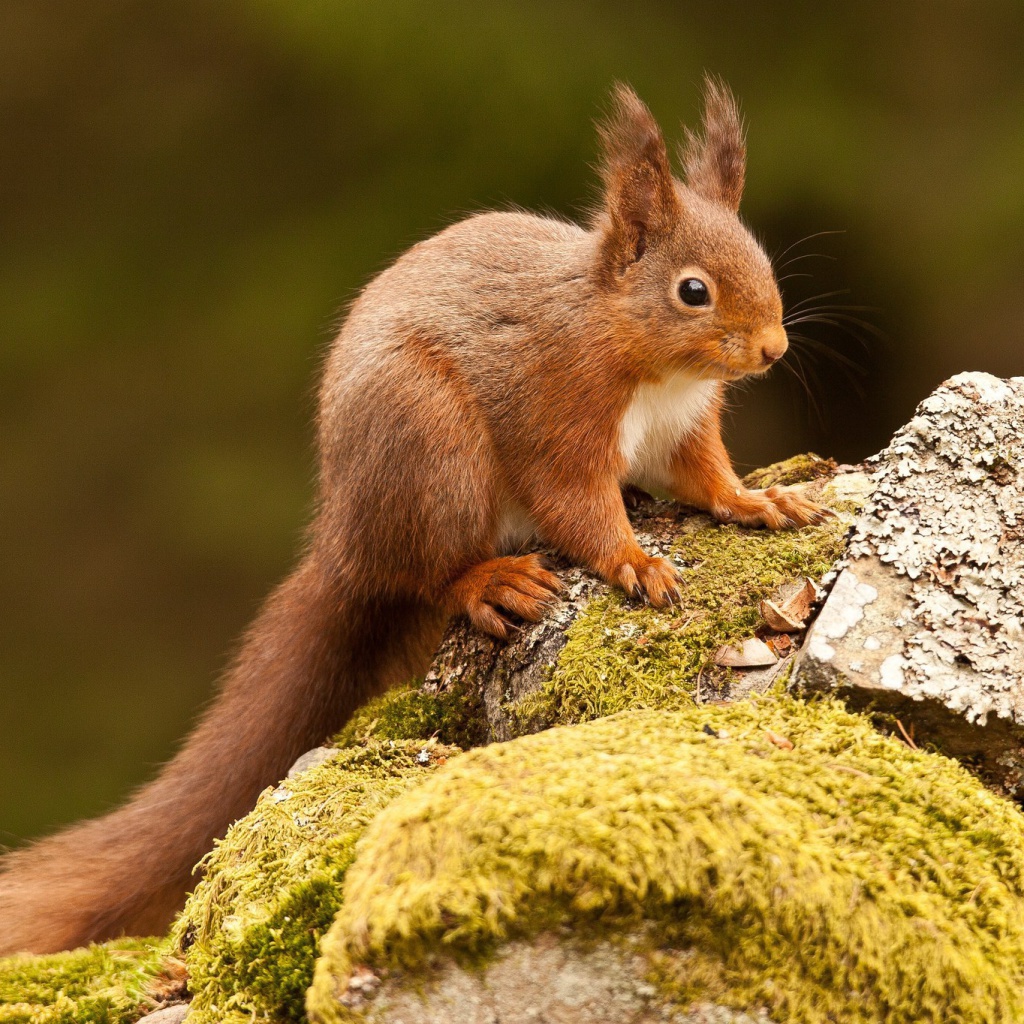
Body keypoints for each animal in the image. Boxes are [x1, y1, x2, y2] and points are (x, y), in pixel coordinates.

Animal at [0, 81, 823, 958]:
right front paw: (634, 561)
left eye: (762, 261)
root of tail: (342, 544)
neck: (641, 355)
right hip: (430, 449)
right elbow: (577, 505)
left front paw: (760, 501)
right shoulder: (556, 415)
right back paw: (489, 582)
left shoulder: (684, 429)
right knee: (429, 573)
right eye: (692, 291)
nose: (772, 348)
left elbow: (708, 479)